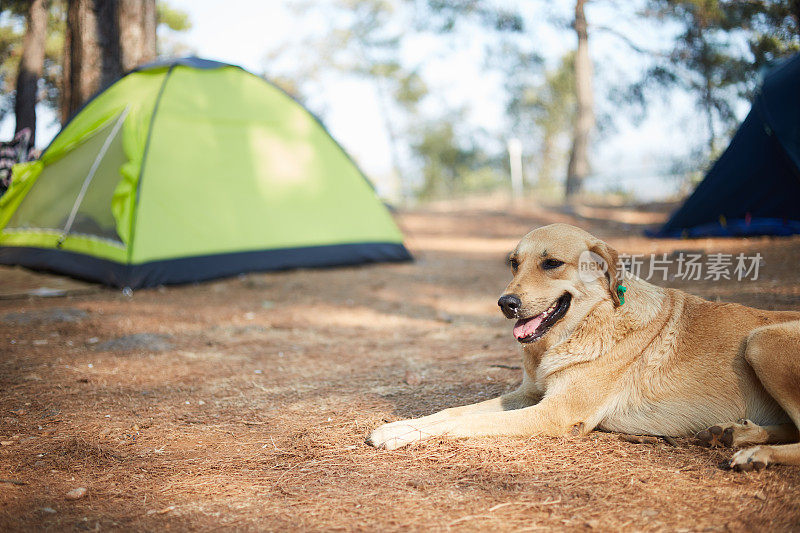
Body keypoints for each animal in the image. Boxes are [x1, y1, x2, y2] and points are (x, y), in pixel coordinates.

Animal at [368, 223, 800, 470]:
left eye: (552, 263)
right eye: (513, 263)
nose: (505, 304)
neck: (586, 324)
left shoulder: (554, 413)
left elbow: (462, 422)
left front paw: (401, 435)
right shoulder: (529, 395)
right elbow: (453, 411)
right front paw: (401, 425)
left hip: (762, 341)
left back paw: (755, 454)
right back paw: (735, 434)